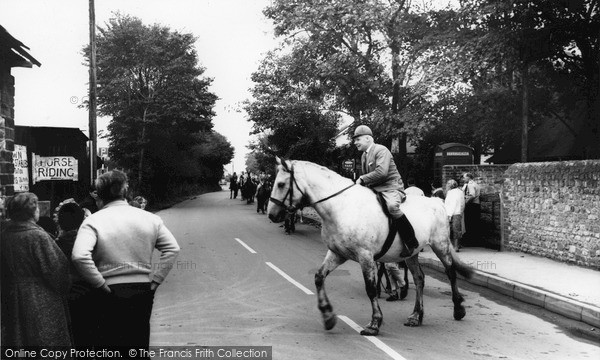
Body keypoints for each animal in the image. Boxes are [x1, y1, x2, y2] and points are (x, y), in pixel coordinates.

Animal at [268, 159, 474, 336]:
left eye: (281, 184)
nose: (271, 214)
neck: (341, 207)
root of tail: (437, 201)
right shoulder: (336, 254)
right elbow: (319, 277)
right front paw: (328, 316)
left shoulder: (365, 256)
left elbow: (371, 289)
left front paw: (375, 323)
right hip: (411, 254)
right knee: (419, 278)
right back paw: (416, 316)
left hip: (440, 245)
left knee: (451, 273)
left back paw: (458, 309)